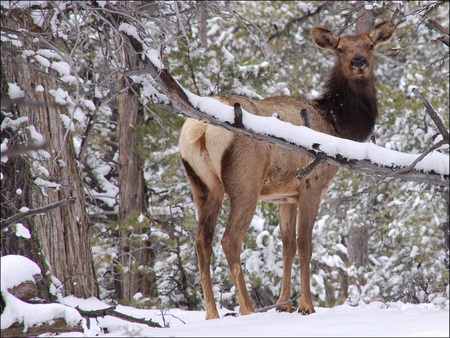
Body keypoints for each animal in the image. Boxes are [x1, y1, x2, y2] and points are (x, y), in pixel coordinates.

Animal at [178, 19, 394, 318]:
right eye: (340, 48)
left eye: (370, 45)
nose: (358, 61)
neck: (336, 124)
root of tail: (200, 129)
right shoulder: (311, 185)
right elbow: (305, 245)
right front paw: (306, 305)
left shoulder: (285, 196)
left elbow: (287, 246)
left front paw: (285, 304)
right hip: (244, 183)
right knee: (230, 239)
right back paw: (247, 308)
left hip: (202, 184)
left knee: (202, 241)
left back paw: (212, 313)